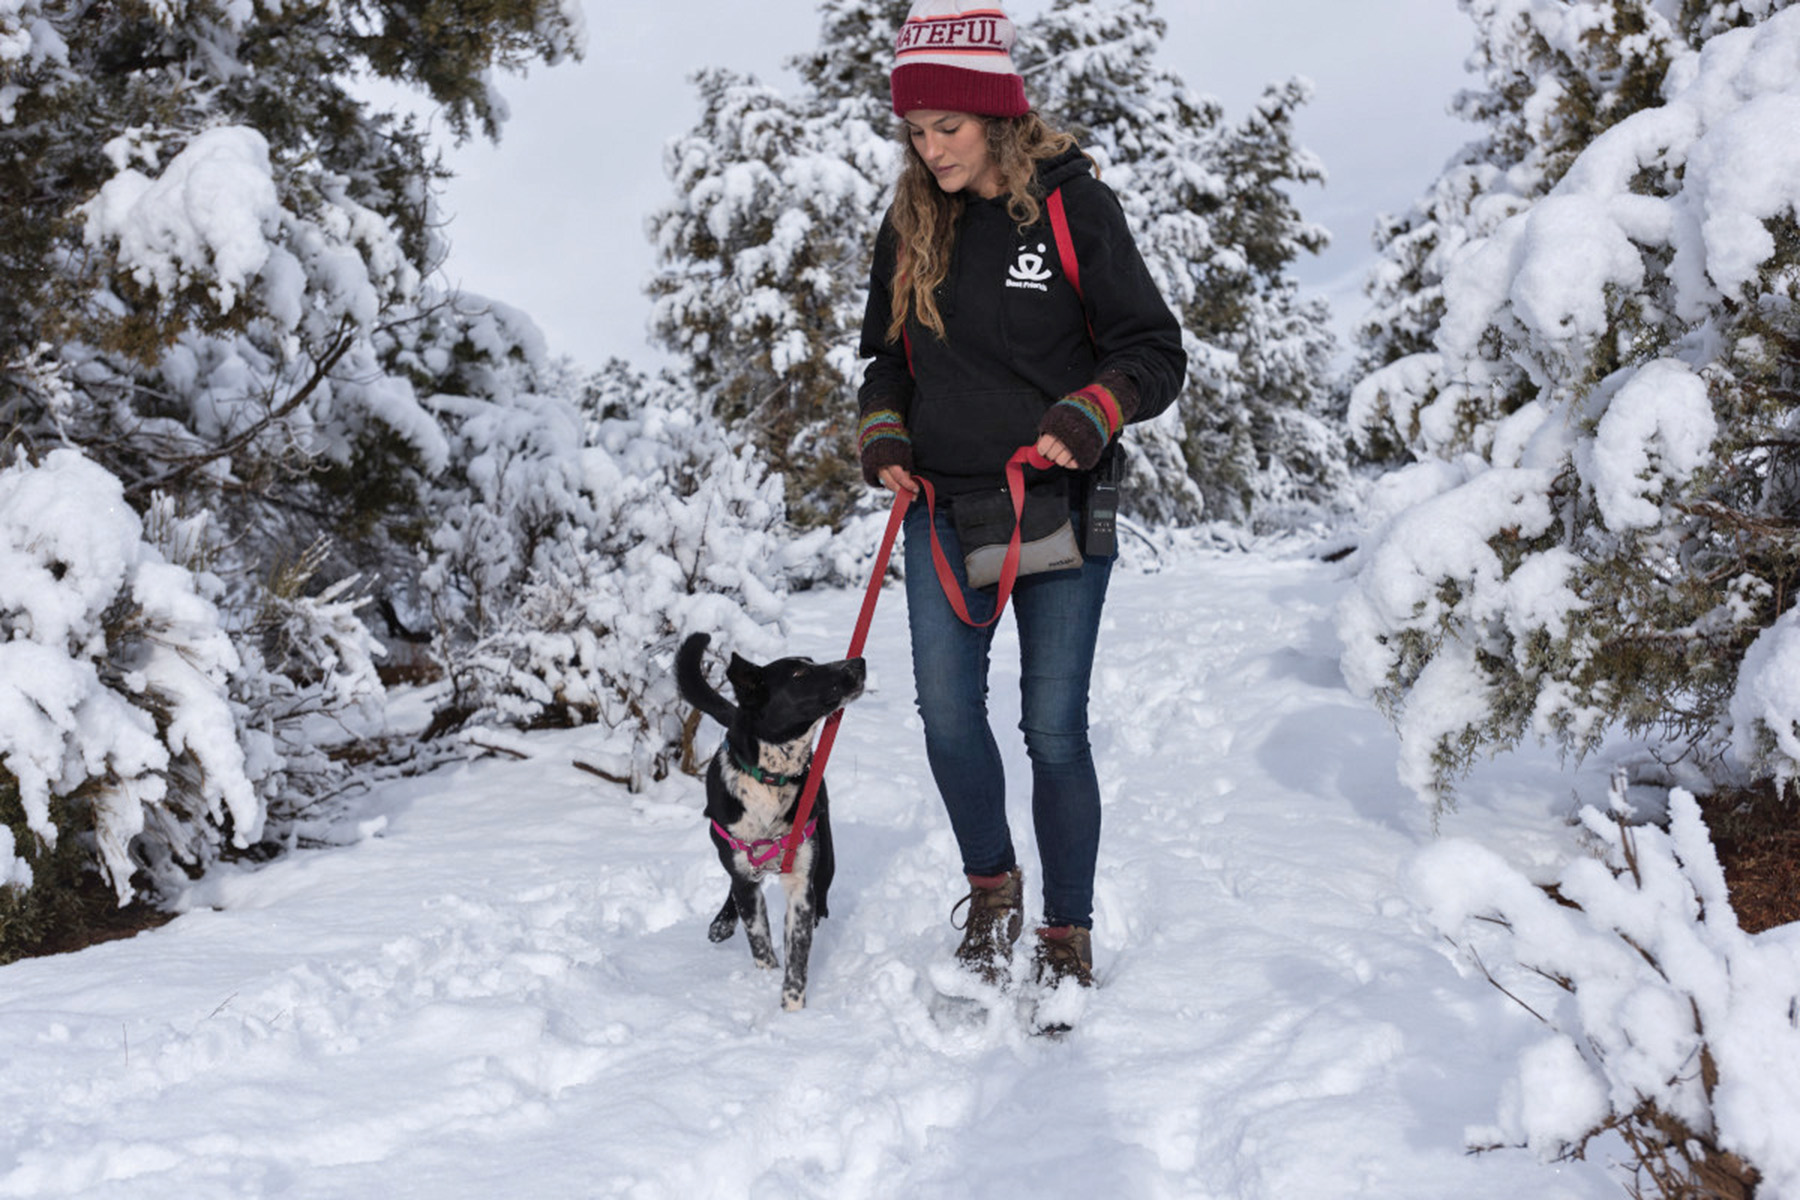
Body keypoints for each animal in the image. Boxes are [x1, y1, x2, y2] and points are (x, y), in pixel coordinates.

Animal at [676, 633, 867, 1007]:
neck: (770, 779)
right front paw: (766, 978)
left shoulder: (801, 881)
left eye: (812, 662)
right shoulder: (743, 870)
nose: (858, 663)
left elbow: (797, 952)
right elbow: (759, 940)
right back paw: (723, 922)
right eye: (798, 674)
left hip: (824, 855)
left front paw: (792, 1007)